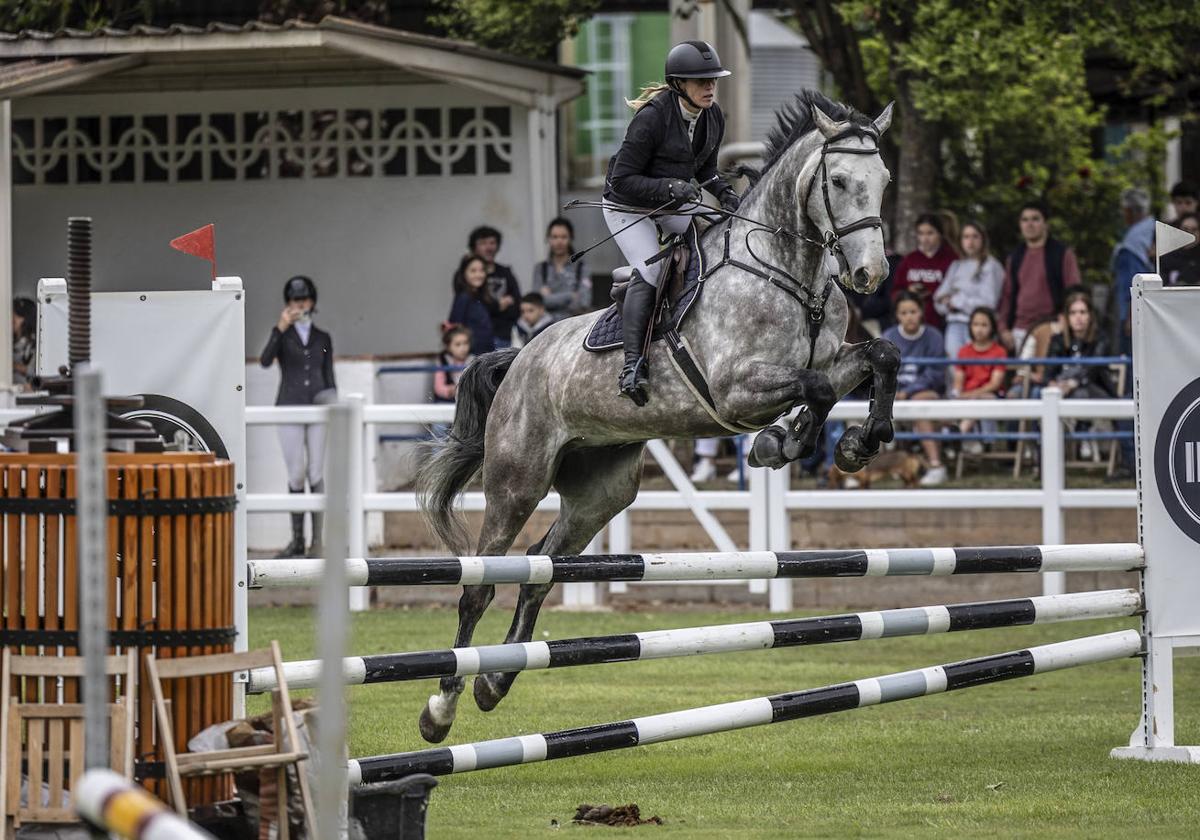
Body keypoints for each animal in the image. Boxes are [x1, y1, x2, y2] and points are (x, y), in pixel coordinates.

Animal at [417, 90, 897, 739]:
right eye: (840, 180)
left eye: (884, 180)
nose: (870, 275)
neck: (790, 273)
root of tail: (521, 357)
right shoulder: (734, 391)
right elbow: (817, 389)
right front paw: (781, 443)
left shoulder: (834, 359)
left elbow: (880, 356)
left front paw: (856, 444)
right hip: (517, 481)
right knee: (481, 586)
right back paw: (440, 711)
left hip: (601, 492)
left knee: (542, 567)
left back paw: (494, 683)